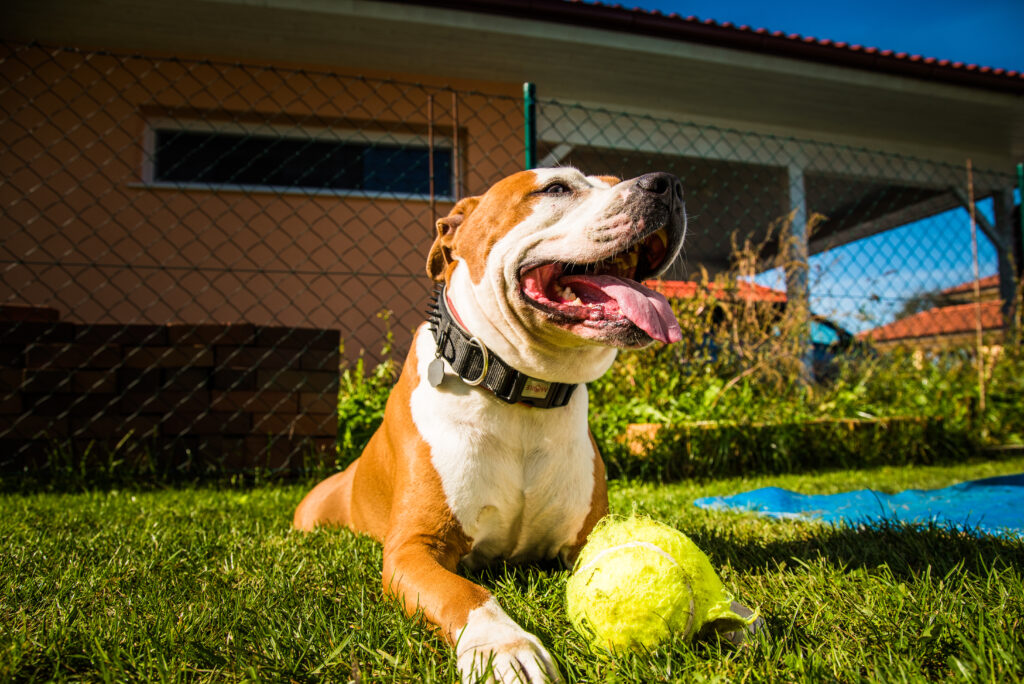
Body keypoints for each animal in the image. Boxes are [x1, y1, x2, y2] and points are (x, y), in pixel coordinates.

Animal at [294, 166, 688, 684]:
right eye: (556, 188)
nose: (668, 184)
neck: (521, 391)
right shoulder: (413, 549)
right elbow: (464, 593)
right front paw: (504, 645)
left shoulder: (586, 537)